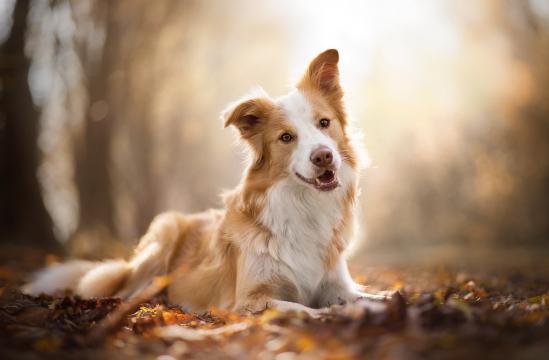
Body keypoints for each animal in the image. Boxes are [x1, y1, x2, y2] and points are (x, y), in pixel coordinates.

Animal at [23, 50, 388, 316]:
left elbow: (366, 295)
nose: (324, 156)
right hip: (164, 233)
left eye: (324, 123)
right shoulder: (249, 301)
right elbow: (304, 309)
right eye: (286, 137)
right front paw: (336, 316)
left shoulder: (337, 285)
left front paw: (387, 301)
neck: (303, 207)